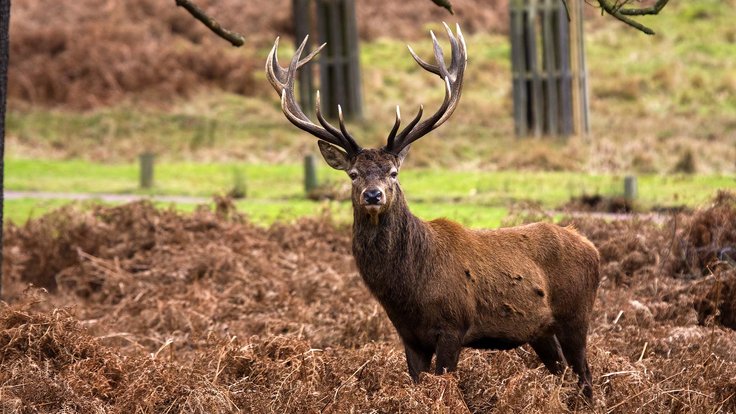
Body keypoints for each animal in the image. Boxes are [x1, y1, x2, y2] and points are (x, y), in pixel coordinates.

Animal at [268, 24, 600, 400]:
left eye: (393, 172)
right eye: (353, 174)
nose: (373, 194)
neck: (408, 290)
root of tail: (592, 247)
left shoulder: (452, 325)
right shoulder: (409, 336)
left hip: (576, 315)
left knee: (585, 375)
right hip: (540, 331)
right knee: (564, 373)